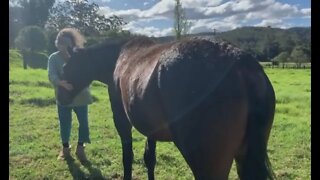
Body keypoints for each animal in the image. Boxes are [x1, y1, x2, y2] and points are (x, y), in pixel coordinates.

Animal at [57, 35, 276, 179]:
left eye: (67, 67)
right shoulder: (151, 129)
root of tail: (241, 63)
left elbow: (127, 158)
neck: (120, 59)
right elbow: (149, 159)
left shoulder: (122, 121)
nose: (60, 96)